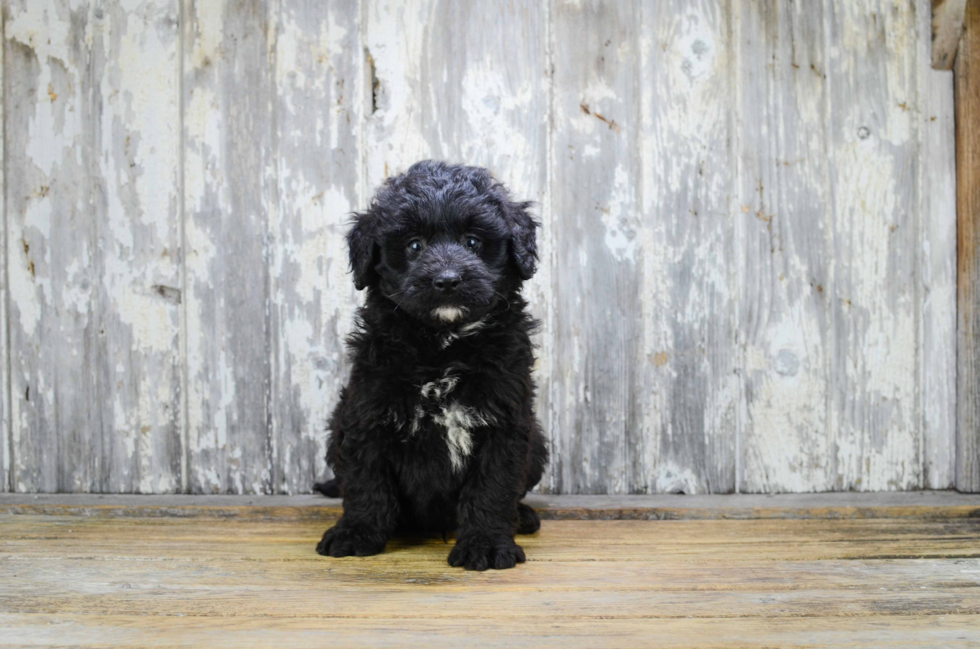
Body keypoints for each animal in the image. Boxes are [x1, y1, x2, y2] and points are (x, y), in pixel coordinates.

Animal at [318, 159, 552, 568]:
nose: (447, 280)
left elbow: (493, 486)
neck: (442, 344)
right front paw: (356, 532)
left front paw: (486, 544)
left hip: (537, 442)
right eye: (414, 246)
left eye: (473, 242)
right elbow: (366, 480)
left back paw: (522, 516)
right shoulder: (366, 410)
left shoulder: (505, 419)